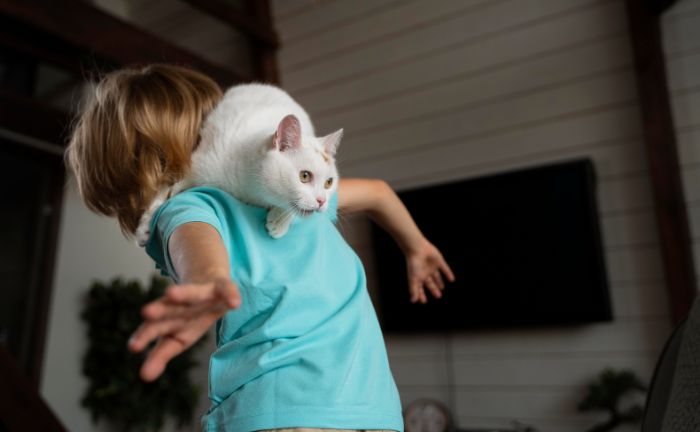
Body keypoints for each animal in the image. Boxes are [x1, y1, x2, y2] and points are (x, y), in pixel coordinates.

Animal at [135, 83, 343, 246]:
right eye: (304, 176)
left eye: (329, 183)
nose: (322, 201)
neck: (254, 192)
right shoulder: (197, 165)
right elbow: (163, 193)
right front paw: (144, 229)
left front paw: (279, 221)